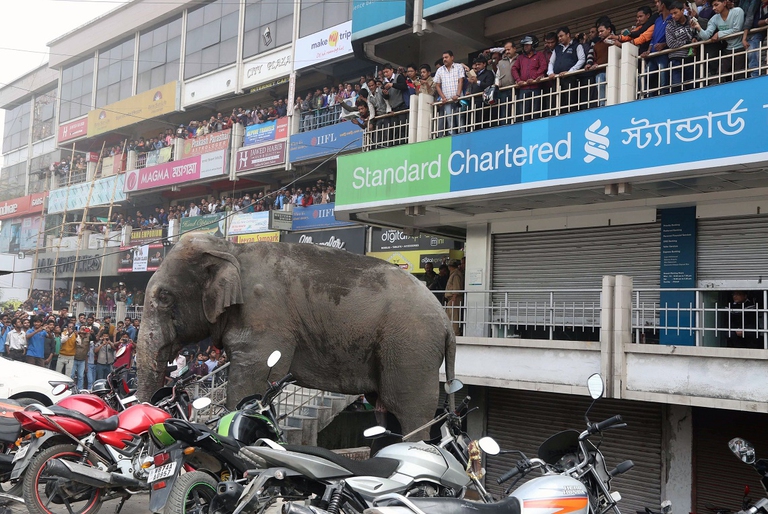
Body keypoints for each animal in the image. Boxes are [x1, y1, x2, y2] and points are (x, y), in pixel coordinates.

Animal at [137, 233, 456, 439]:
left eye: (164, 297)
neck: (231, 249)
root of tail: (447, 321)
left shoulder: (265, 315)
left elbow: (251, 382)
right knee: (386, 410)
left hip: (410, 347)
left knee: (410, 409)